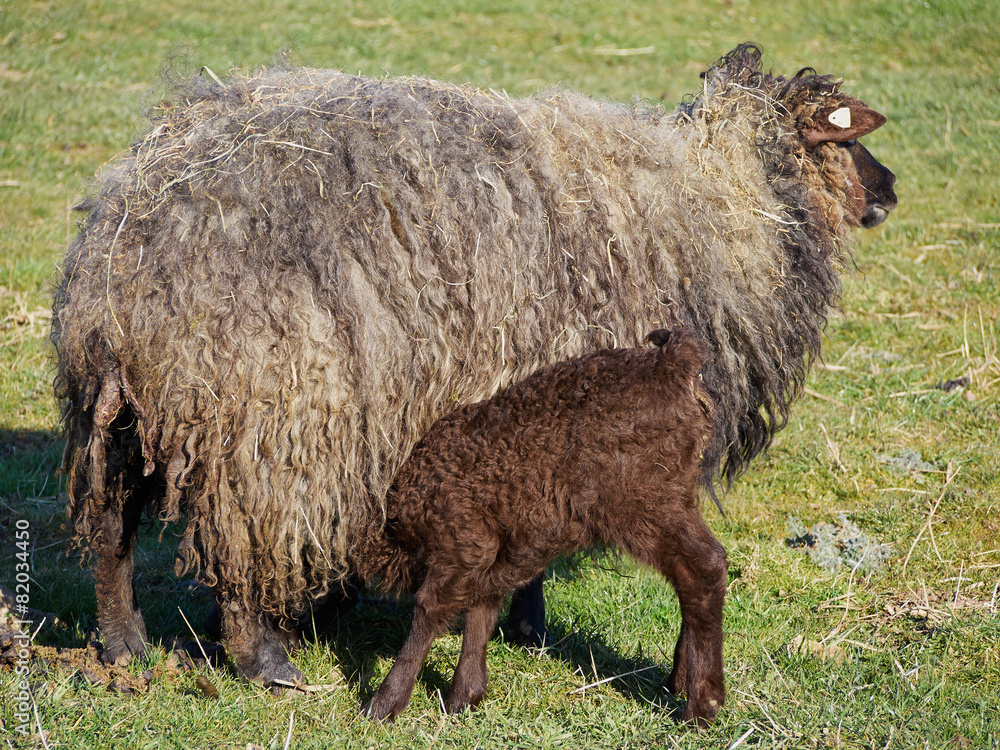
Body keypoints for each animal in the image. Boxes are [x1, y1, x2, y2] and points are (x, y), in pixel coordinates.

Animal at [354, 328, 723, 725]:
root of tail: (671, 361)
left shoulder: (462, 543)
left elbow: (429, 612)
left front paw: (384, 703)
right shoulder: (496, 549)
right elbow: (481, 611)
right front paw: (464, 696)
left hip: (644, 503)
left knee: (704, 568)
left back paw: (702, 706)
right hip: (675, 499)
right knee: (692, 579)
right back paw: (681, 681)